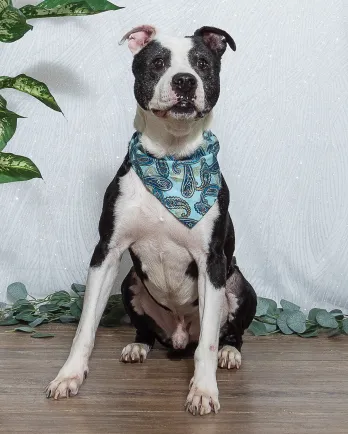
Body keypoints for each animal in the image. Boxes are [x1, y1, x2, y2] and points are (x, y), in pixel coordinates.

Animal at [46, 24, 256, 418]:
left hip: (239, 286)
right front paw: (69, 376)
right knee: (146, 331)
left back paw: (229, 352)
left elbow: (206, 343)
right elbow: (85, 327)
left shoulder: (211, 262)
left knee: (225, 333)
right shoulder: (106, 253)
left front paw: (203, 391)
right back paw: (137, 346)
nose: (185, 81)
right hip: (129, 283)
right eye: (158, 63)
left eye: (202, 63)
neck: (172, 159)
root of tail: (178, 336)